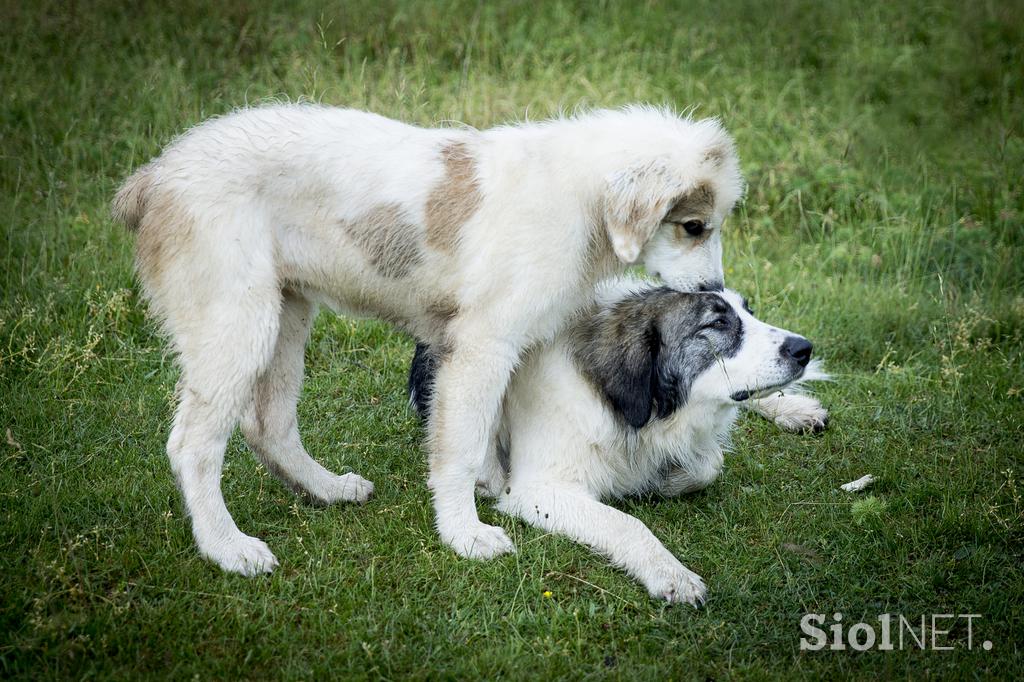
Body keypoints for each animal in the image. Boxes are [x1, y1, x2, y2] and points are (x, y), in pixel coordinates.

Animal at [114, 102, 745, 573]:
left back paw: (326, 490)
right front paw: (465, 534)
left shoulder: (470, 350)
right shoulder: (483, 346)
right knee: (193, 445)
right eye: (692, 226)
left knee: (268, 425)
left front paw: (489, 490)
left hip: (287, 314)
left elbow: (481, 435)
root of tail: (156, 176)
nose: (717, 291)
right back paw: (227, 547)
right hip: (238, 324)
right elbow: (459, 448)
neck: (578, 199)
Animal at [407, 276, 823, 606]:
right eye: (717, 323)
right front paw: (670, 572)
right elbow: (628, 523)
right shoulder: (537, 490)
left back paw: (796, 408)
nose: (804, 348)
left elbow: (709, 463)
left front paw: (665, 478)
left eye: (749, 312)